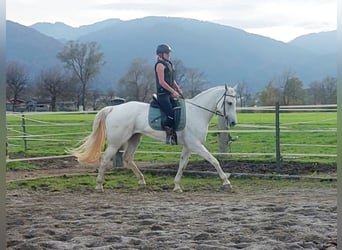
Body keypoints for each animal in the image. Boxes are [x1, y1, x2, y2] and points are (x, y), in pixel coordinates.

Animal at [71, 85, 238, 192]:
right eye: (229, 102)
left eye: (235, 102)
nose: (233, 122)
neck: (197, 112)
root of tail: (114, 108)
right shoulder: (195, 145)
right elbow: (214, 160)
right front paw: (226, 182)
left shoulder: (188, 146)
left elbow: (182, 165)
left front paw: (177, 186)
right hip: (115, 142)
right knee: (105, 159)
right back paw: (99, 186)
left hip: (134, 138)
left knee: (127, 157)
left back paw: (141, 181)